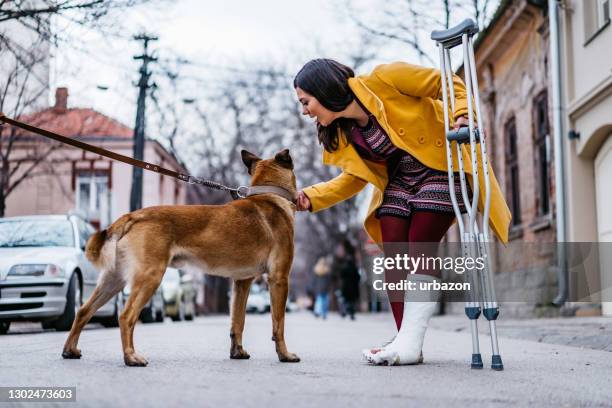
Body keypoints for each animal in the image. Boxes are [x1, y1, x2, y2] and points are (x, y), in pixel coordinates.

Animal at [62, 149, 302, 366]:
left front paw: (238, 352)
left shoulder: (241, 283)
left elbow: (238, 321)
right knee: (126, 316)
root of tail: (133, 215)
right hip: (149, 277)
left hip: (113, 280)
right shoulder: (279, 279)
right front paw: (285, 355)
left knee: (83, 311)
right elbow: (278, 323)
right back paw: (131, 357)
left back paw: (69, 350)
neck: (269, 194)